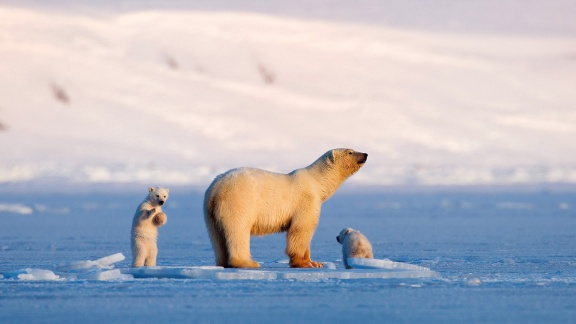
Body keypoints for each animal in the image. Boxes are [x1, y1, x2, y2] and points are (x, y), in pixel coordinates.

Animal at [205, 148, 366, 268]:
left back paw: (223, 262)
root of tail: (215, 189)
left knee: (217, 237)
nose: (365, 154)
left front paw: (315, 262)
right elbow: (301, 229)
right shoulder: (306, 201)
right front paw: (303, 263)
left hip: (210, 212)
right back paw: (248, 262)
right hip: (239, 201)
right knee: (238, 230)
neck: (316, 182)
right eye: (350, 152)